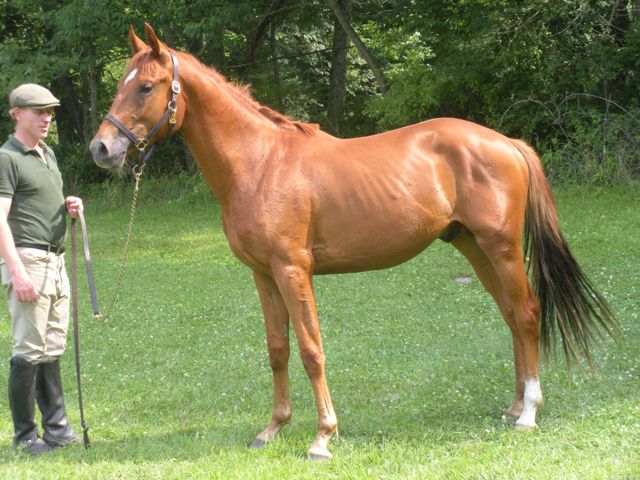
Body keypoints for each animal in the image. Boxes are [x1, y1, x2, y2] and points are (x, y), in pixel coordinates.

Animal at [90, 24, 617, 459]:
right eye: (120, 84)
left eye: (146, 86)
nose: (101, 149)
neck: (260, 162)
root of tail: (507, 142)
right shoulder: (263, 275)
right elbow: (277, 349)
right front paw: (272, 429)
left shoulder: (292, 270)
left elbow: (311, 349)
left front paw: (322, 436)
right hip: (473, 246)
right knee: (510, 315)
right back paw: (512, 406)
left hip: (501, 247)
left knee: (527, 314)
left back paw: (529, 412)